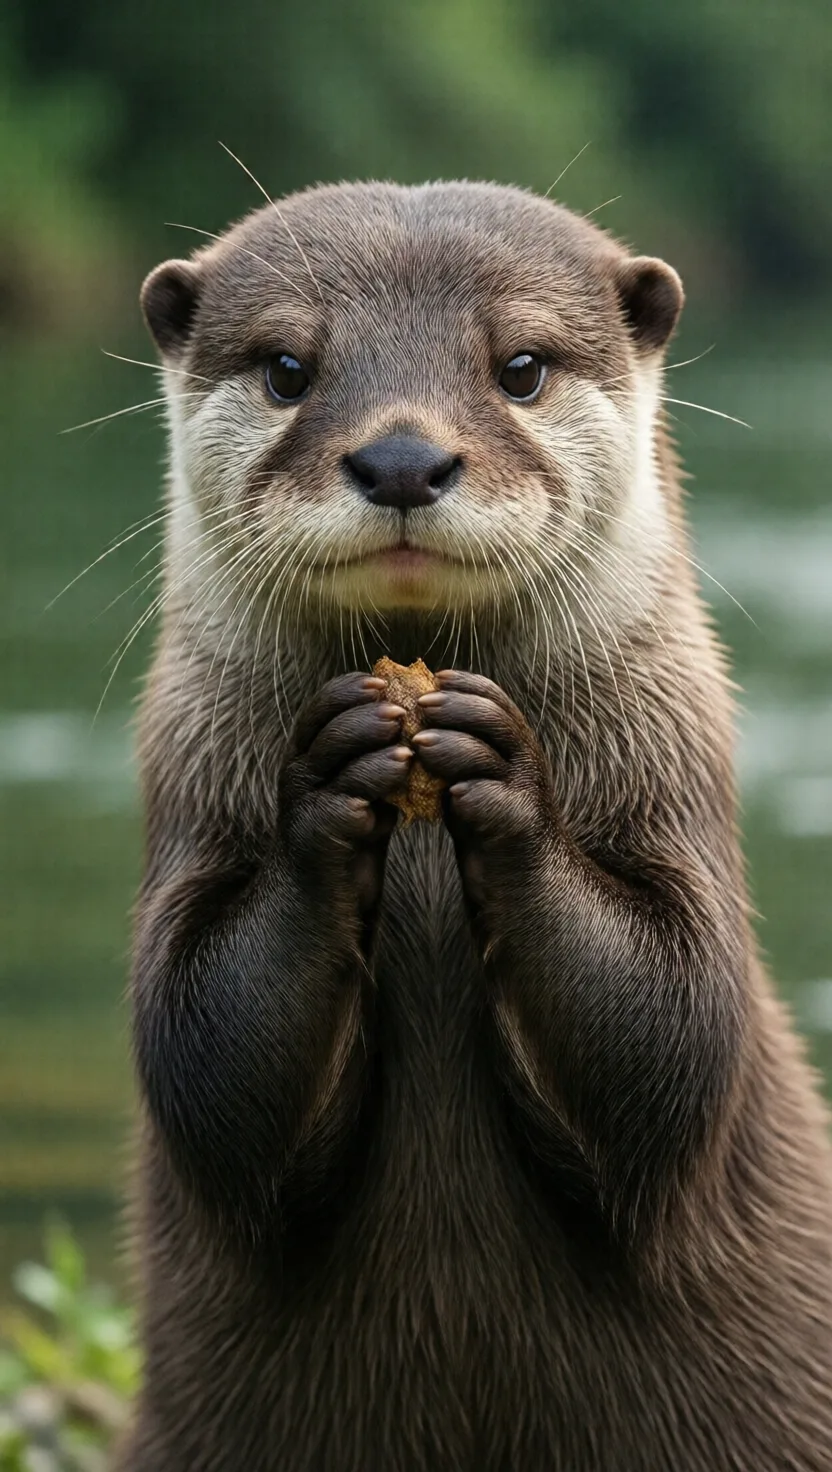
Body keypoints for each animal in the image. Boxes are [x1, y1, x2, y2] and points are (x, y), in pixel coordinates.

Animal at [117, 181, 832, 1471]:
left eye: (521, 366)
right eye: (288, 365)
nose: (402, 455)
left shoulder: (678, 787)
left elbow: (674, 1025)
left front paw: (502, 776)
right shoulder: (185, 804)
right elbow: (202, 1052)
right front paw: (333, 772)